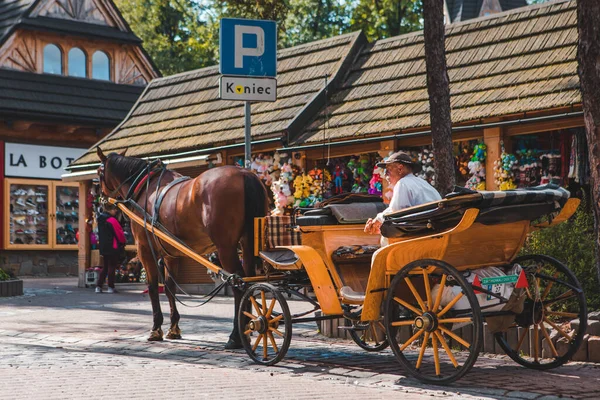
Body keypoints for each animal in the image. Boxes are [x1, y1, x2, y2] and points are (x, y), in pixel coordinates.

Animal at [96, 148, 268, 348]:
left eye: (99, 173)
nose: (101, 203)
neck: (145, 187)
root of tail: (244, 174)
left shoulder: (145, 250)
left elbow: (153, 287)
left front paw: (156, 329)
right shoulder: (170, 254)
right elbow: (170, 287)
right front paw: (173, 328)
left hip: (226, 248)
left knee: (239, 284)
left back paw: (235, 336)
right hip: (247, 243)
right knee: (249, 281)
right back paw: (247, 329)